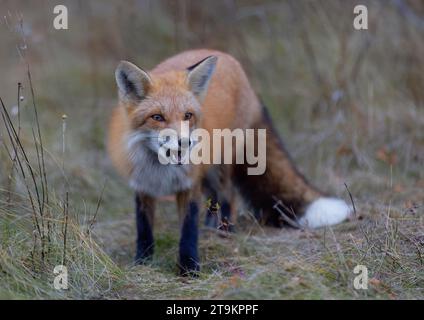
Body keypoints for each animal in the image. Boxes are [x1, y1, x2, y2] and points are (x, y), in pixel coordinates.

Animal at [107, 48, 352, 274]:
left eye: (187, 116)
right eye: (157, 117)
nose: (185, 143)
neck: (160, 170)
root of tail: (225, 56)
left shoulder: (189, 184)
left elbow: (188, 231)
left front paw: (189, 269)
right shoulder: (143, 185)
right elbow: (144, 229)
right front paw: (142, 263)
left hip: (223, 164)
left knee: (227, 194)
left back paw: (224, 231)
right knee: (214, 197)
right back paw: (211, 226)